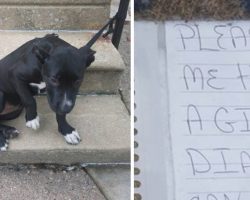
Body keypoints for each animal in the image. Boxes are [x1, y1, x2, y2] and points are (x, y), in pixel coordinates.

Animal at [0, 20, 110, 152]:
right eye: (53, 80)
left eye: (78, 81)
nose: (65, 108)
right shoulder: (15, 75)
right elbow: (29, 99)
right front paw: (32, 118)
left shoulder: (58, 100)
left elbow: (60, 114)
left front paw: (66, 130)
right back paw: (1, 141)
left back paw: (8, 131)